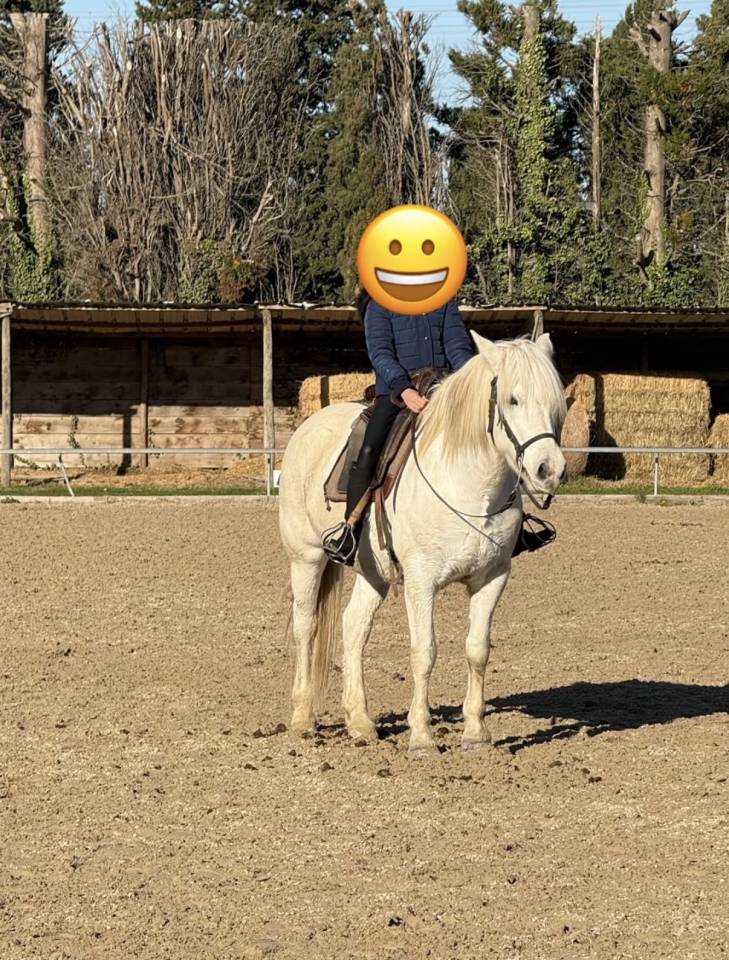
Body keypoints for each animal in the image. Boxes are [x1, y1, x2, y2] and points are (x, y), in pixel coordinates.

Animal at [278, 332, 567, 755]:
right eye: (513, 399)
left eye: (556, 402)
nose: (550, 471)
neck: (469, 486)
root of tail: (308, 427)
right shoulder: (420, 581)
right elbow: (424, 651)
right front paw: (421, 736)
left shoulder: (493, 577)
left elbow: (477, 650)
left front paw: (476, 733)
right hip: (307, 558)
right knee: (306, 627)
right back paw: (302, 718)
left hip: (374, 572)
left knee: (354, 628)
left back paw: (360, 722)